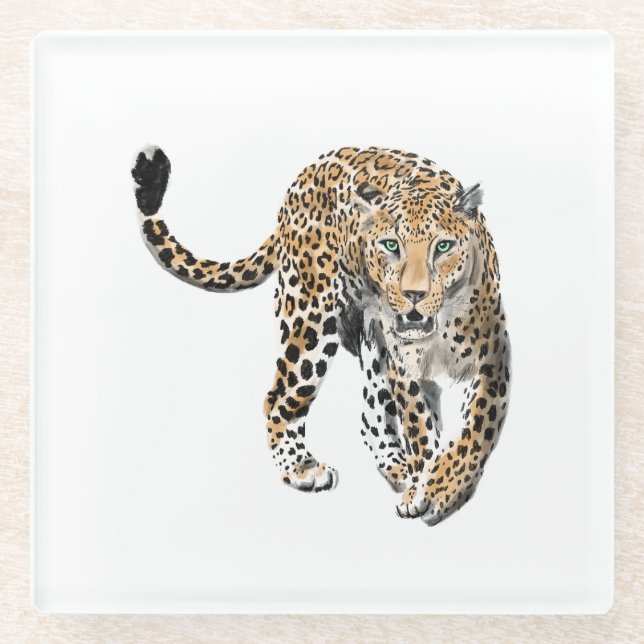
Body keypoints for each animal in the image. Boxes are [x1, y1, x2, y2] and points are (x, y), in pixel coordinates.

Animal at [131, 145, 511, 526]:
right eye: (391, 245)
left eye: (443, 247)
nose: (414, 294)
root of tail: (304, 176)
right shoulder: (405, 369)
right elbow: (421, 429)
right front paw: (427, 488)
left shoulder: (492, 360)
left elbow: (475, 432)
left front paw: (438, 488)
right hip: (310, 319)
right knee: (278, 398)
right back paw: (302, 469)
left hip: (369, 343)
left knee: (370, 415)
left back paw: (398, 471)